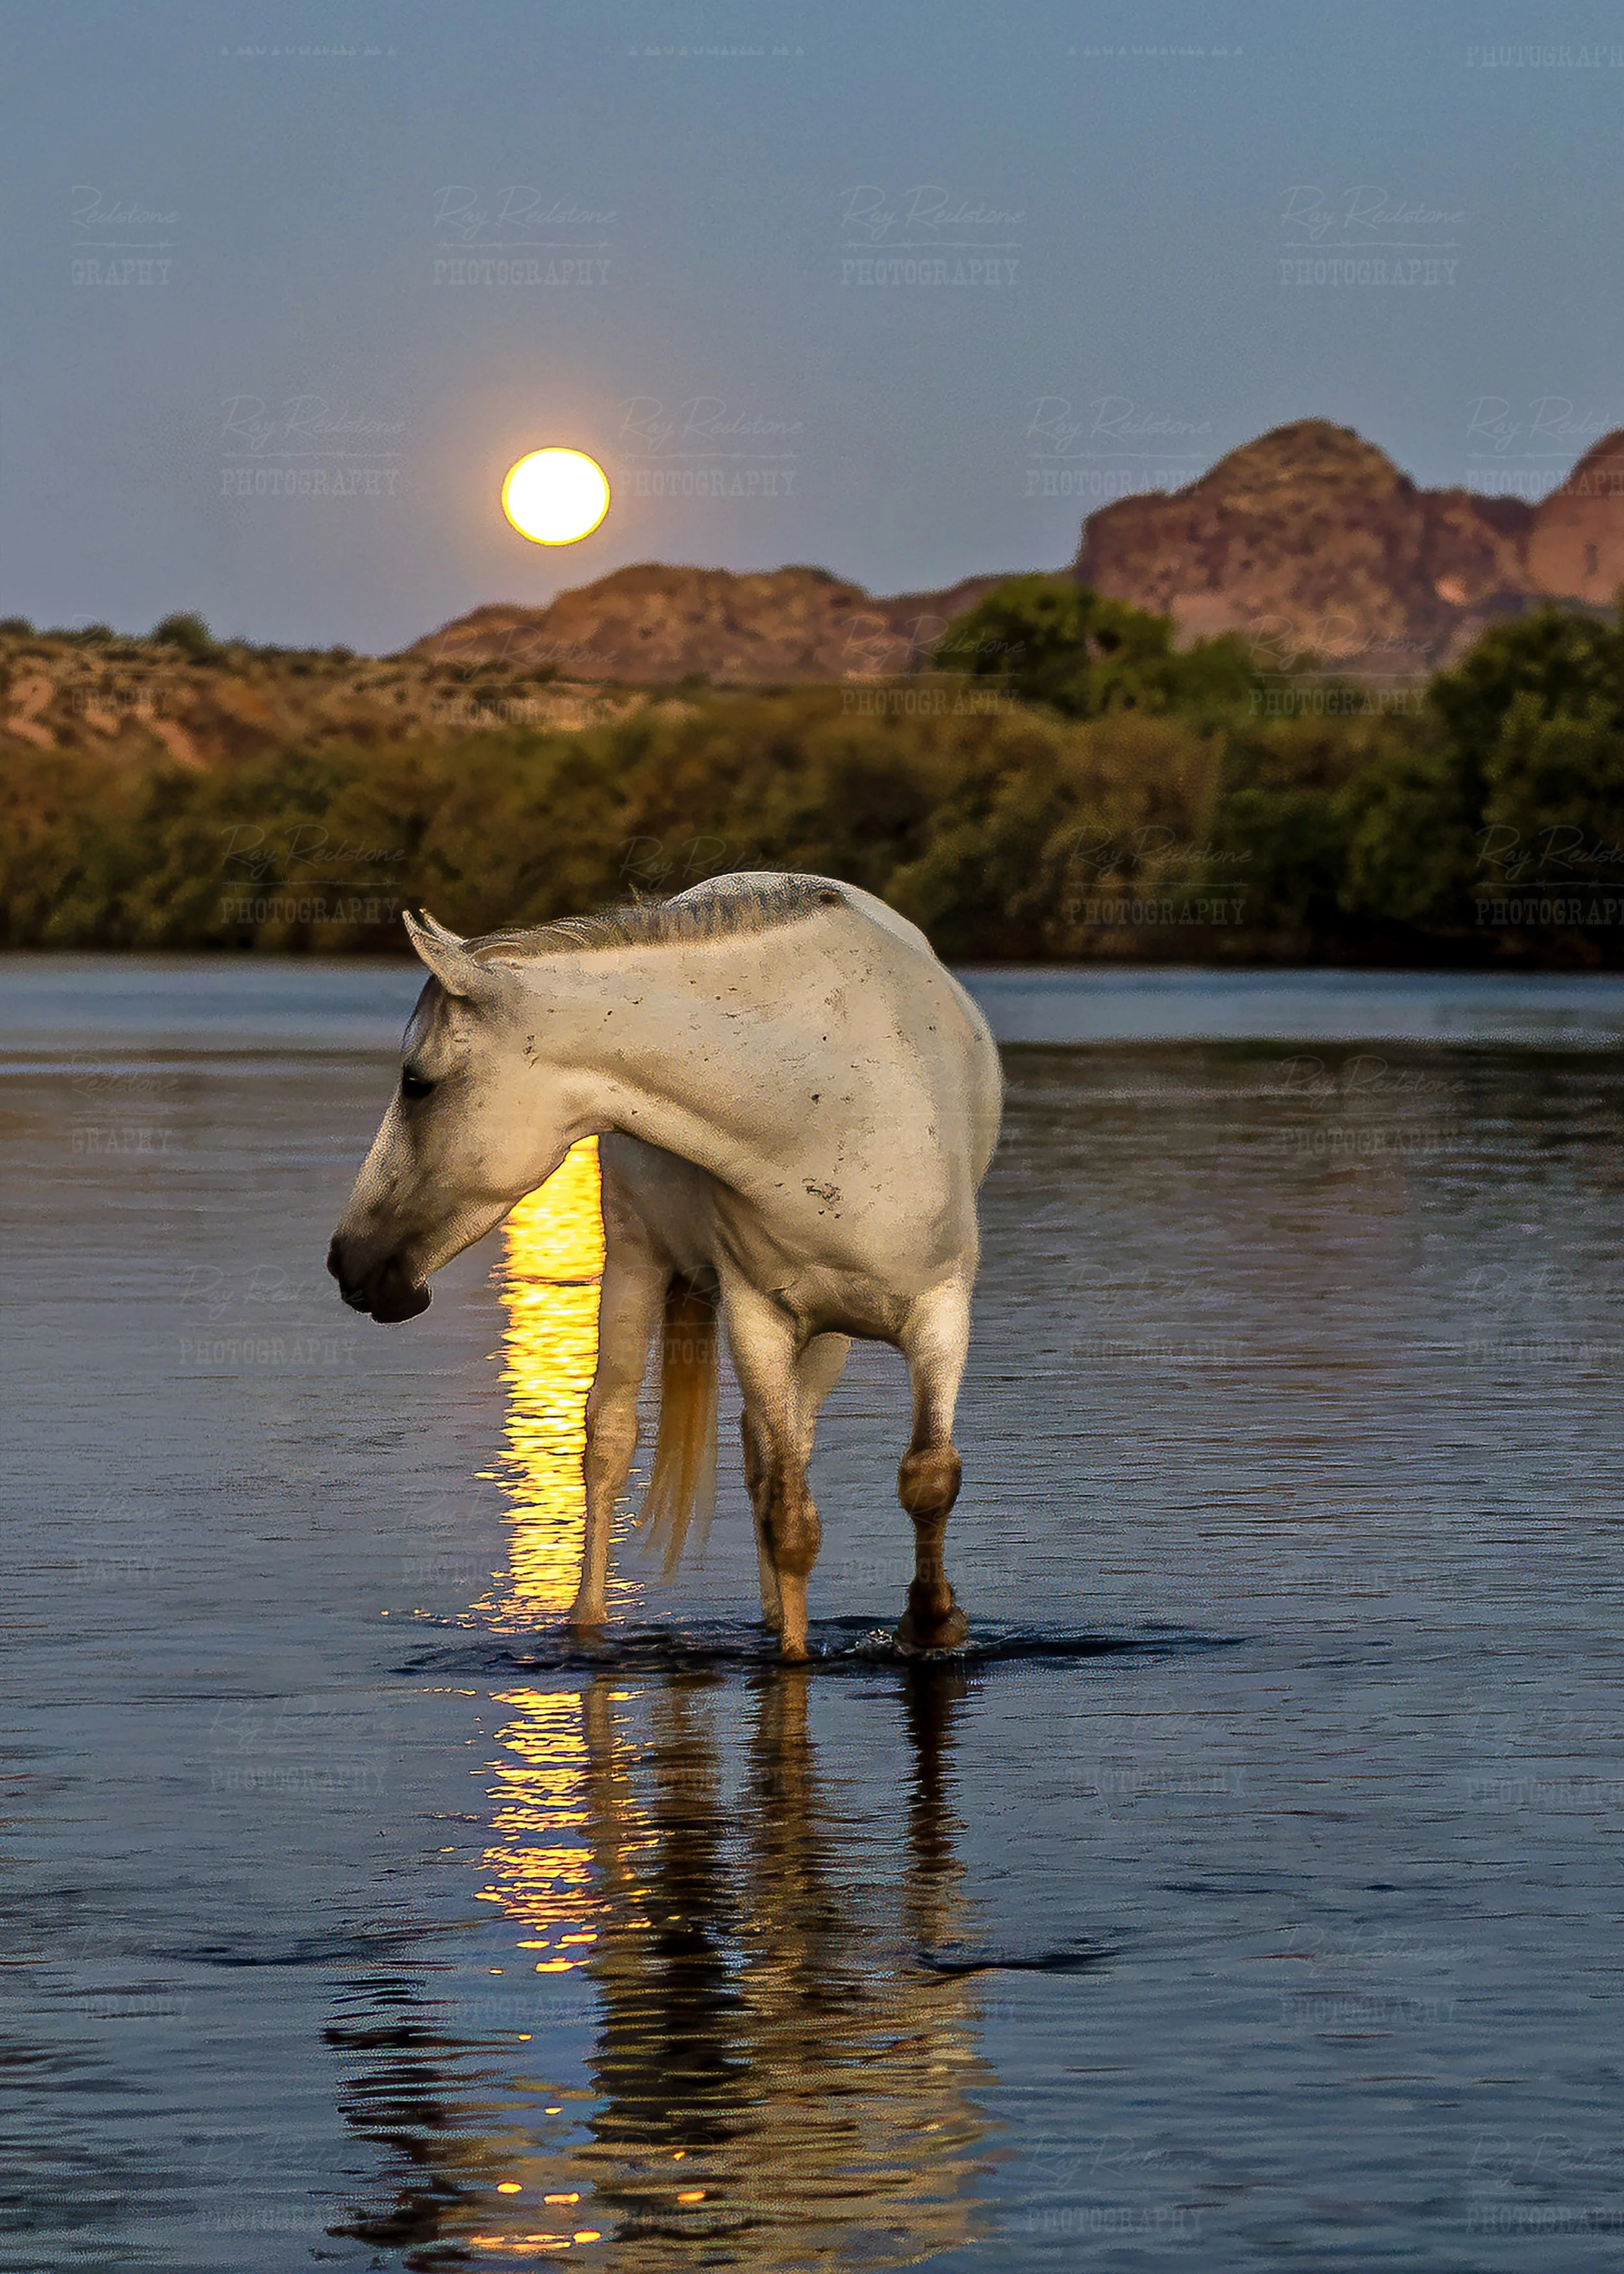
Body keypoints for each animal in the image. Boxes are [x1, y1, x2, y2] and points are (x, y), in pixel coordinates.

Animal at [327, 871, 1003, 1661]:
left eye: (417, 1083)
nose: (348, 1260)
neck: (823, 1105)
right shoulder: (757, 1317)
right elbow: (791, 1518)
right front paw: (798, 1658)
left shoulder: (940, 1312)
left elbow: (926, 1476)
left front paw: (931, 1622)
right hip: (637, 1261)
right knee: (612, 1437)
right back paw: (588, 1625)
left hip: (831, 1333)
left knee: (765, 1450)